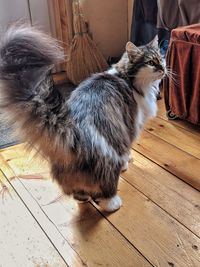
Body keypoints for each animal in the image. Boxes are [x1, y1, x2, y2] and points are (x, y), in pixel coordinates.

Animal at [0, 24, 166, 213]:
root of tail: (71, 131)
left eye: (161, 58)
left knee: (76, 192)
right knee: (107, 192)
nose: (163, 69)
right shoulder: (131, 125)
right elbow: (127, 149)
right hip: (109, 163)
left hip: (67, 174)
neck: (128, 79)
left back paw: (84, 197)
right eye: (151, 63)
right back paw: (114, 203)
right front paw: (127, 161)